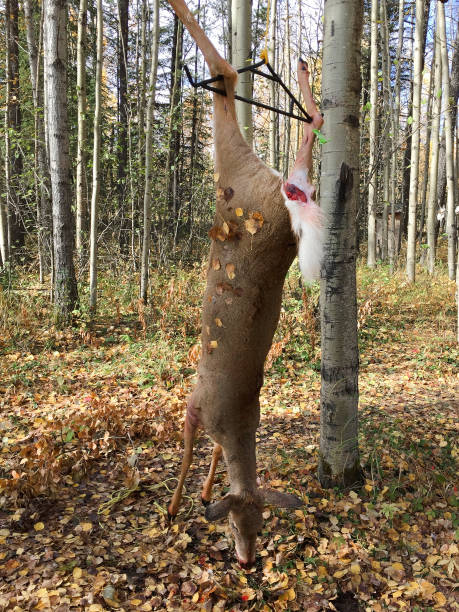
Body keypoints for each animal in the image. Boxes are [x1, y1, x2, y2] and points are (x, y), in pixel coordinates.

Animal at [167, 0, 326, 568]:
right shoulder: (200, 410)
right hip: (256, 173)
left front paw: (184, 501)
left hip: (236, 173)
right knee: (291, 120)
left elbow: (197, 448)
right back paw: (298, 66)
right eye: (238, 522)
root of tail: (288, 203)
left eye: (261, 525)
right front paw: (185, 501)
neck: (236, 423)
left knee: (229, 78)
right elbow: (196, 452)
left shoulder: (195, 404)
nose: (245, 559)